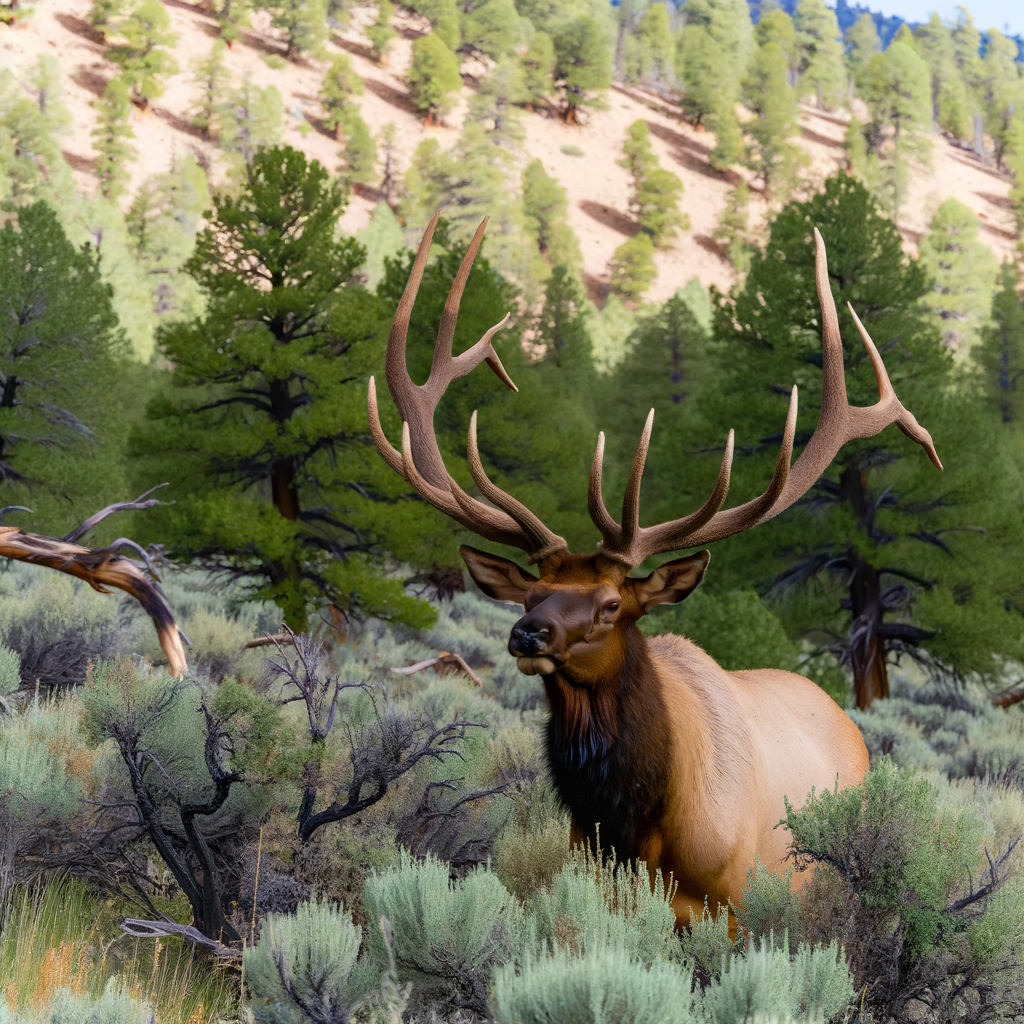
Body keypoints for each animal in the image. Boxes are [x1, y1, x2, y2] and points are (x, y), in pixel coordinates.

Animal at [367, 211, 942, 927]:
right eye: (531, 592)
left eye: (612, 603)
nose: (528, 634)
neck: (634, 825)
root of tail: (850, 727)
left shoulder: (734, 906)